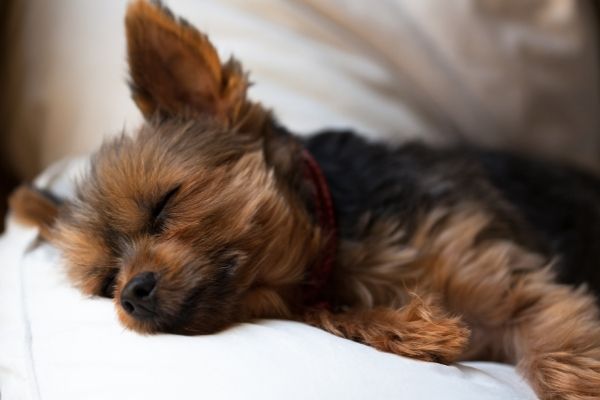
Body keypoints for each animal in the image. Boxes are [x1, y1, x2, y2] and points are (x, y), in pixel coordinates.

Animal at [8, 1, 600, 398]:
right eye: (106, 281)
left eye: (164, 204)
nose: (131, 293)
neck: (339, 252)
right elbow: (333, 316)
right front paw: (412, 329)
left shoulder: (508, 283)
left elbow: (558, 348)